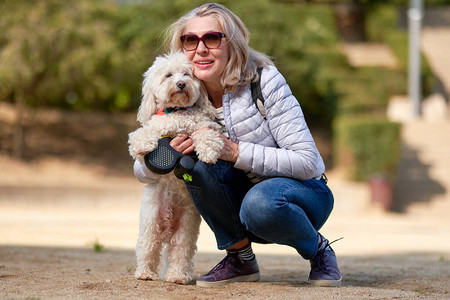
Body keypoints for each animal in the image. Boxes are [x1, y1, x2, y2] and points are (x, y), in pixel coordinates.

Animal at [128, 51, 223, 284]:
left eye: (187, 74)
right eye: (168, 75)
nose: (181, 83)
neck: (178, 112)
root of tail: (168, 226)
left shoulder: (203, 126)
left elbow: (206, 133)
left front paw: (208, 152)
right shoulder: (154, 127)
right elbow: (143, 133)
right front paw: (141, 145)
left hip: (186, 227)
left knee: (180, 251)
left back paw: (178, 276)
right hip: (150, 223)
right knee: (148, 249)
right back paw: (145, 273)